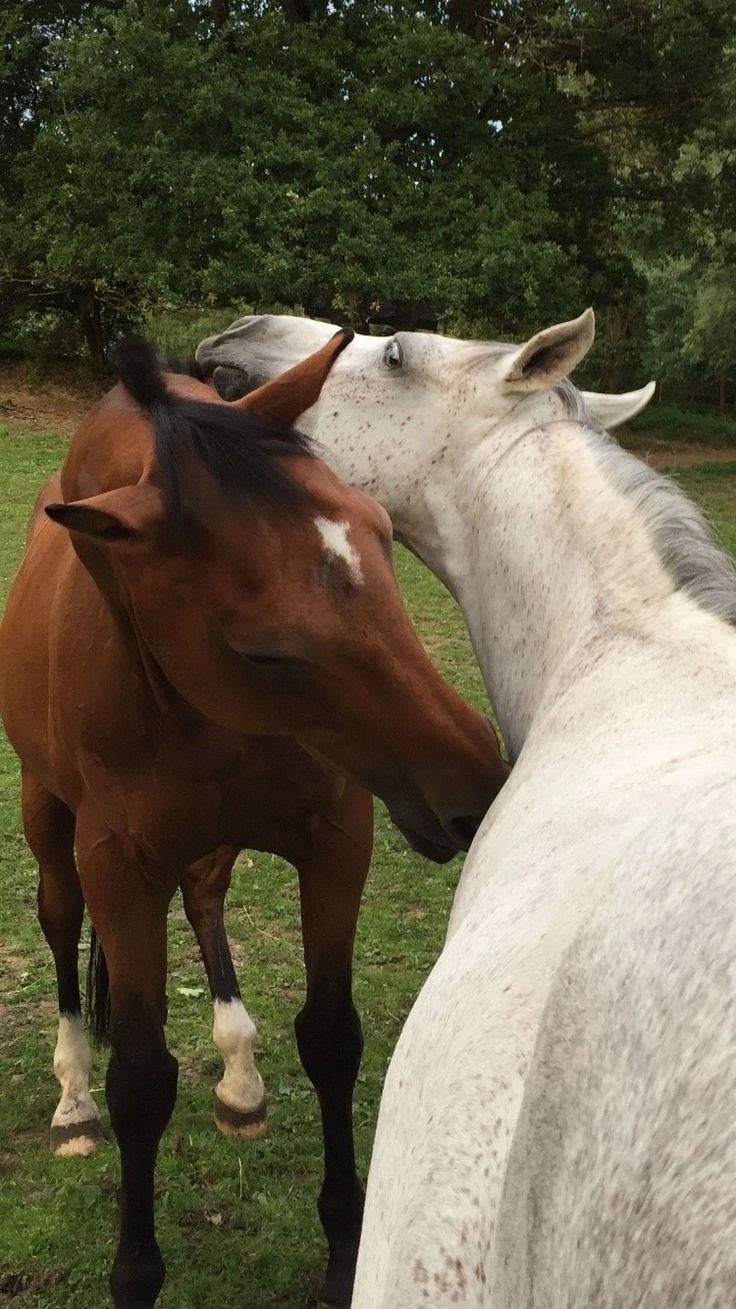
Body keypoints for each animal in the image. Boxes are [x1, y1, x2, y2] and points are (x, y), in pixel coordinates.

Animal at [0, 331, 508, 1309]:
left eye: (384, 536)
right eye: (264, 651)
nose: (477, 785)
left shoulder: (337, 841)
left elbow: (332, 1037)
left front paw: (345, 1246)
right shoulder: (118, 866)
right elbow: (141, 1079)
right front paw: (135, 1267)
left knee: (204, 899)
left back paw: (239, 1072)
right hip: (48, 819)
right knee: (59, 922)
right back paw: (72, 1098)